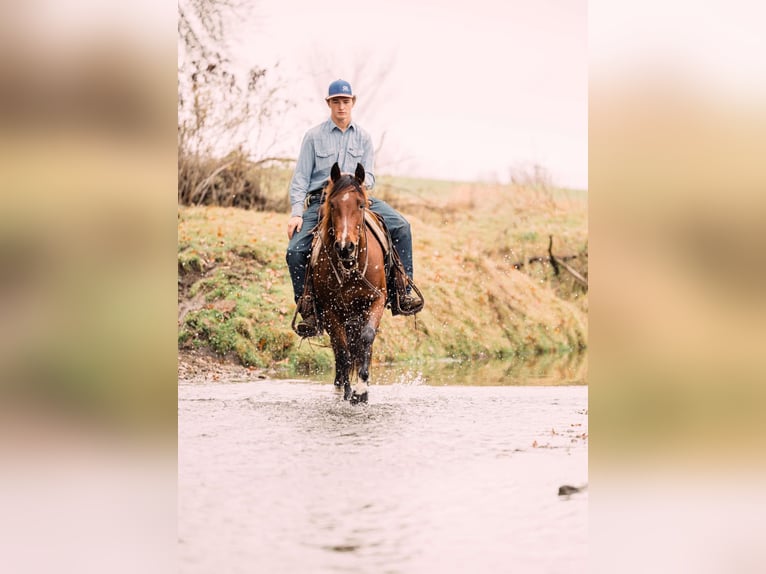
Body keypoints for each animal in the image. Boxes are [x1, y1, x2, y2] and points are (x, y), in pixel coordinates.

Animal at [312, 162, 388, 404]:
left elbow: (367, 339)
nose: (346, 247)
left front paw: (362, 389)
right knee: (339, 350)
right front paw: (348, 391)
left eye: (361, 204)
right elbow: (343, 350)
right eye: (332, 204)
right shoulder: (330, 310)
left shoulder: (377, 300)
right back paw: (339, 386)